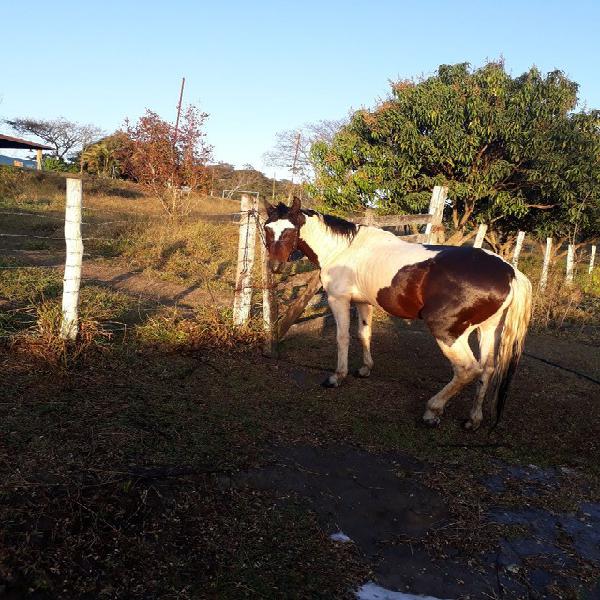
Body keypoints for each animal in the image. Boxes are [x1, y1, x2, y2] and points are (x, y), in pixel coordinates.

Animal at [264, 195, 532, 428]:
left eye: (289, 231)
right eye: (267, 229)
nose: (274, 267)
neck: (344, 249)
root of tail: (509, 271)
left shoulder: (338, 300)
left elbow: (343, 338)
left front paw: (337, 377)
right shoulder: (363, 302)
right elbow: (364, 334)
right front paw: (365, 369)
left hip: (448, 333)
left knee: (467, 369)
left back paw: (432, 411)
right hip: (488, 330)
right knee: (487, 369)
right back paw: (473, 420)